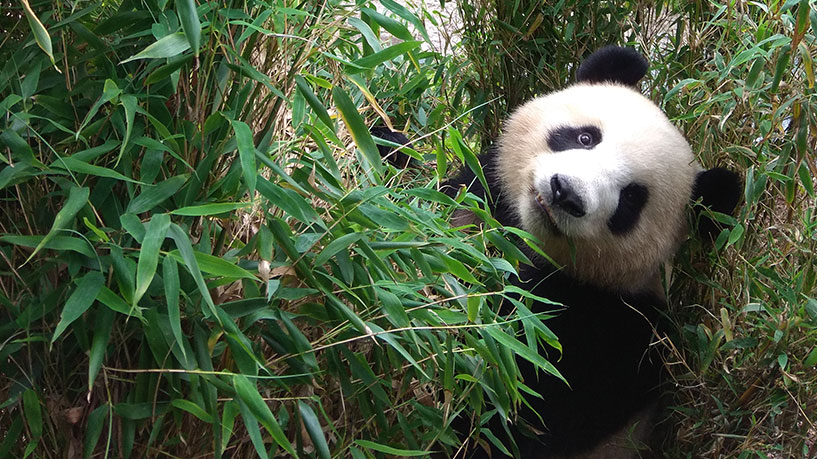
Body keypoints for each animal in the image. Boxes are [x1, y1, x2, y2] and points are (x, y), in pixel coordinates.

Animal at [444, 45, 744, 458]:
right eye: (585, 137)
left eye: (631, 199)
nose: (565, 193)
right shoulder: (479, 195)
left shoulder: (616, 334)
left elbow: (520, 411)